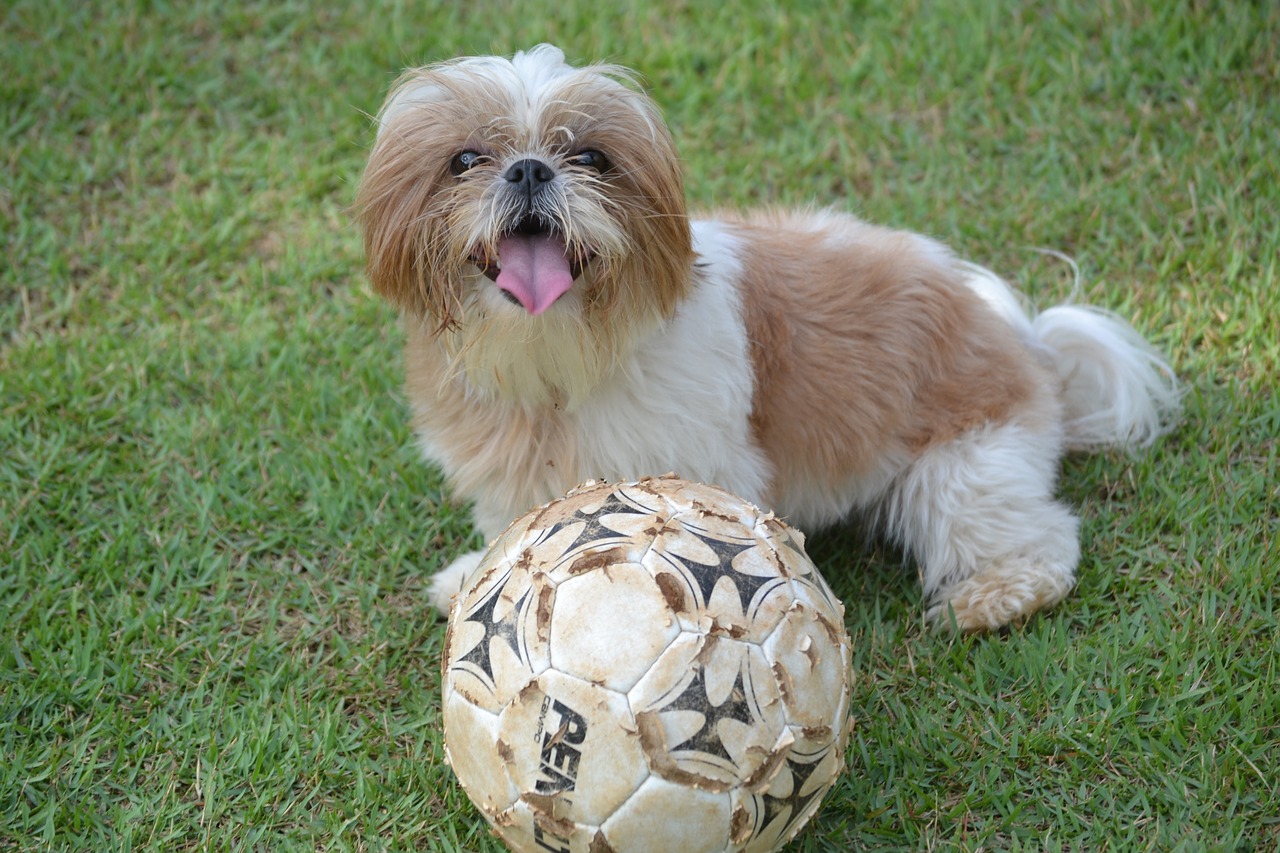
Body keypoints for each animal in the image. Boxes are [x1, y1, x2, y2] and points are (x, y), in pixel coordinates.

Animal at [353, 48, 1177, 630]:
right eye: (464, 160)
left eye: (590, 158)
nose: (529, 168)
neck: (559, 358)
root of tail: (1024, 337)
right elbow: (518, 528)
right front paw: (480, 574)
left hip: (968, 464)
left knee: (1031, 534)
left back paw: (998, 594)